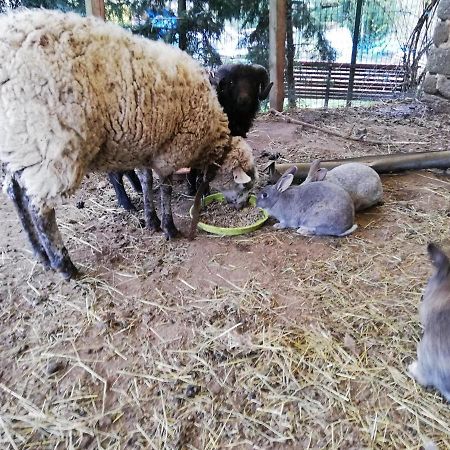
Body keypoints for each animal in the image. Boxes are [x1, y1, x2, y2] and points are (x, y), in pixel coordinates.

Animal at [0, 9, 256, 278]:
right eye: (245, 187)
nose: (242, 207)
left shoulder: (147, 143)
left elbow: (145, 182)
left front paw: (151, 220)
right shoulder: (171, 150)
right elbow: (165, 189)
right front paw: (169, 227)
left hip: (20, 145)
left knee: (15, 193)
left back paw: (40, 253)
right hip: (51, 144)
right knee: (40, 209)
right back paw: (64, 265)